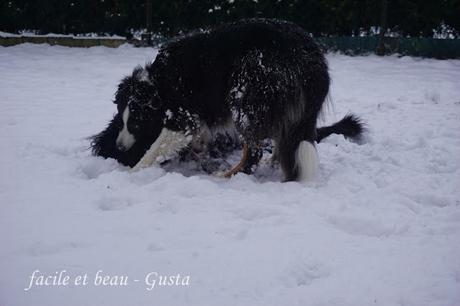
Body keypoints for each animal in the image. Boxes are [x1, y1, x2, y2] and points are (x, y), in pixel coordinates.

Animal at [90, 18, 362, 182]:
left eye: (136, 124)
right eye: (121, 121)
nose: (120, 147)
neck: (158, 83)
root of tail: (313, 61)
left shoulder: (182, 115)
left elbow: (154, 149)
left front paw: (133, 173)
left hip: (247, 92)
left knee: (254, 150)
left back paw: (227, 175)